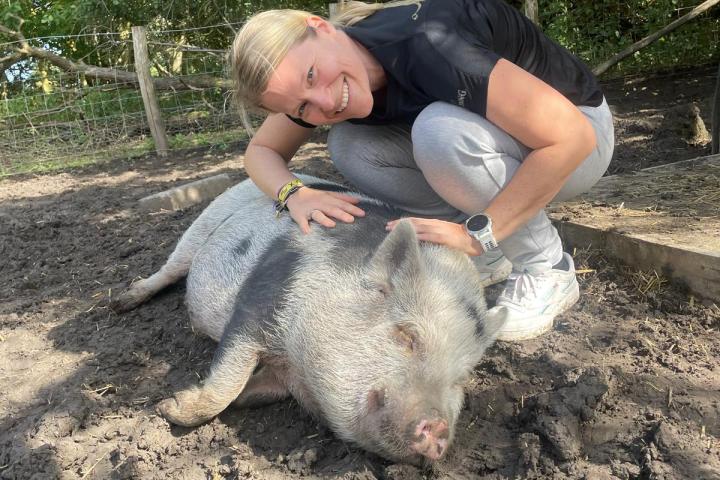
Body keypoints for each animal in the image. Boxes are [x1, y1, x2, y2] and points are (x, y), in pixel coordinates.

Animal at [112, 175, 506, 465]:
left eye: (461, 377)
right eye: (407, 335)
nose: (438, 428)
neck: (295, 363)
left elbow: (248, 392)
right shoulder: (257, 304)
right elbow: (228, 378)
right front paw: (168, 407)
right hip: (201, 225)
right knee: (171, 267)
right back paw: (121, 302)